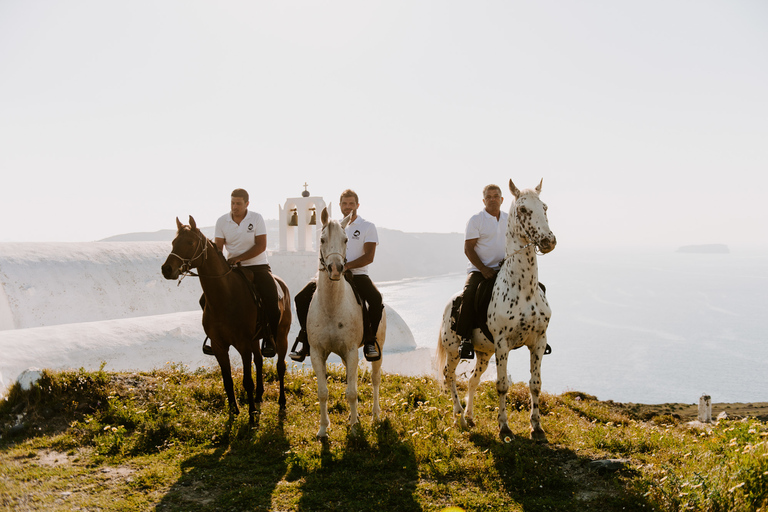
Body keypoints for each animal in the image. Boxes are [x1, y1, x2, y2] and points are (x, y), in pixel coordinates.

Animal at [160, 216, 292, 420]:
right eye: (174, 242)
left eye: (190, 242)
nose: (167, 269)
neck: (225, 297)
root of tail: (282, 284)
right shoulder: (219, 346)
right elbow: (227, 380)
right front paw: (233, 410)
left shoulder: (243, 345)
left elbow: (247, 381)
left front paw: (251, 415)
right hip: (255, 340)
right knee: (259, 361)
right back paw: (259, 396)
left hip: (281, 336)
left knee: (280, 366)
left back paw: (282, 402)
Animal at [306, 208, 388, 440]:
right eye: (322, 239)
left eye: (345, 240)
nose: (335, 269)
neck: (332, 307)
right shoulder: (317, 352)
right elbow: (322, 392)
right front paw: (323, 429)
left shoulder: (352, 351)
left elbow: (352, 393)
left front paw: (353, 429)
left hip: (377, 348)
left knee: (375, 379)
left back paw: (375, 415)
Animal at [438, 180, 560, 444]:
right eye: (523, 209)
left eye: (544, 207)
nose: (548, 241)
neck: (523, 290)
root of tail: (449, 303)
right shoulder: (503, 344)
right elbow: (502, 385)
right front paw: (504, 428)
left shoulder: (538, 342)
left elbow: (535, 384)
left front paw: (537, 428)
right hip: (454, 350)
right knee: (449, 376)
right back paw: (459, 417)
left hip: (483, 353)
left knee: (473, 380)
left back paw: (470, 416)